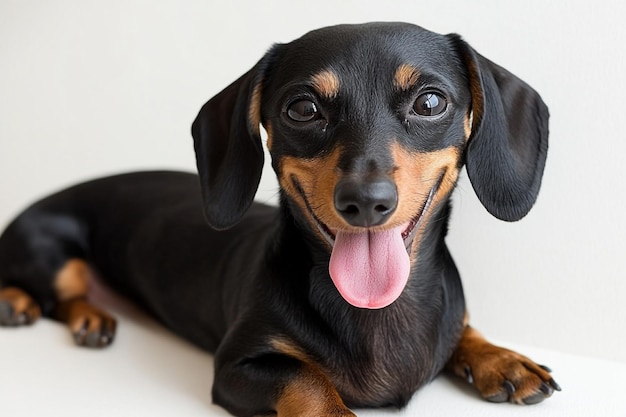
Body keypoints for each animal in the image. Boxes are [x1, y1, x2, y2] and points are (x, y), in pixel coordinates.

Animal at [0, 22, 560, 416]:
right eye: (303, 109)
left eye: (430, 101)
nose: (366, 201)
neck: (377, 312)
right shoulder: (236, 366)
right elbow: (309, 381)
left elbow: (464, 329)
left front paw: (502, 358)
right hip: (50, 252)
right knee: (56, 294)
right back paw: (42, 308)